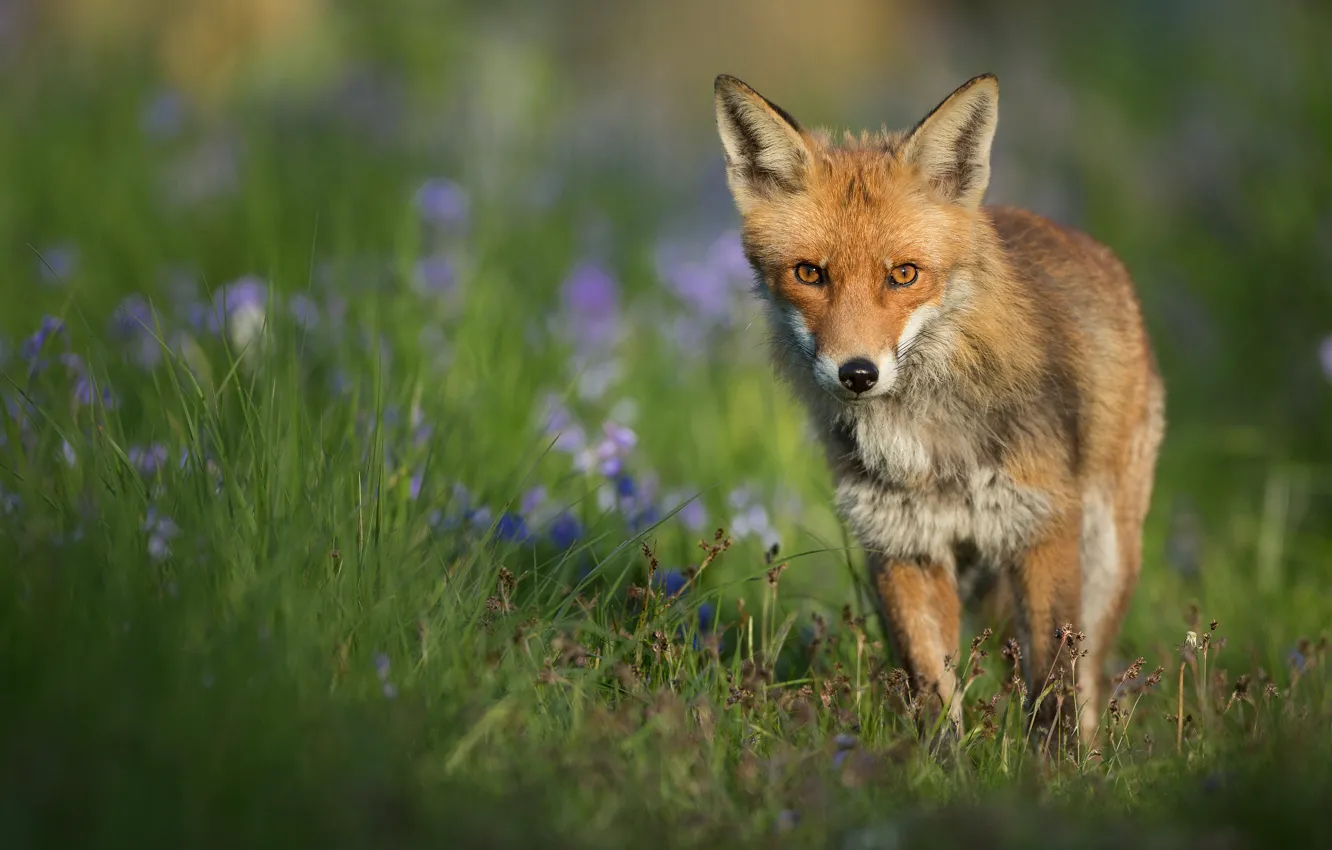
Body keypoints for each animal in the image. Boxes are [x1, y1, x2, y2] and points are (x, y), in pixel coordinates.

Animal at [711, 72, 1165, 747]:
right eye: (809, 273)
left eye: (904, 274)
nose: (858, 373)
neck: (928, 446)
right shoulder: (903, 543)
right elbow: (931, 688)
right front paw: (937, 765)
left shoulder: (1042, 529)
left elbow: (1054, 684)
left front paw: (1055, 766)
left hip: (1107, 553)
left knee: (1088, 677)